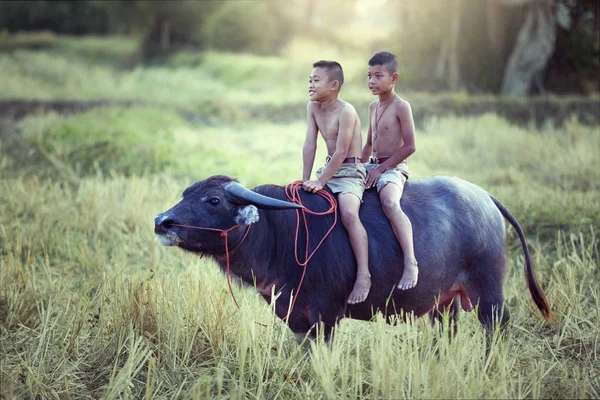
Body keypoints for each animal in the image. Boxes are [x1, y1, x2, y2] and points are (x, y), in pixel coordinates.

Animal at [156, 175, 552, 340]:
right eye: (186, 193)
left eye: (213, 200)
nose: (162, 222)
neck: (281, 234)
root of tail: (486, 199)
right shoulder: (296, 317)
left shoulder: (326, 315)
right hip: (445, 302)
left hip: (489, 294)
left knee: (495, 328)